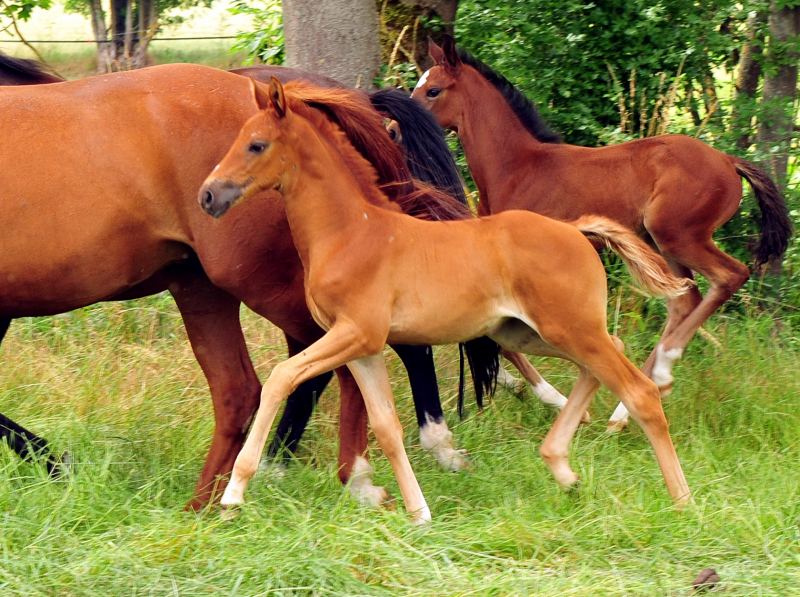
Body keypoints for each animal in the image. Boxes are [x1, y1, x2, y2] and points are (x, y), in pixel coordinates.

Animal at [200, 77, 692, 520]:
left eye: (256, 144)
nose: (207, 195)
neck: (349, 232)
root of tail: (576, 230)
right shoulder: (362, 347)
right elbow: (386, 427)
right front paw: (418, 512)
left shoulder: (356, 333)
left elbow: (282, 378)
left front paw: (234, 493)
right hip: (526, 334)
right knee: (607, 360)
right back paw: (562, 469)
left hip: (569, 329)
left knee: (639, 390)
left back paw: (682, 501)